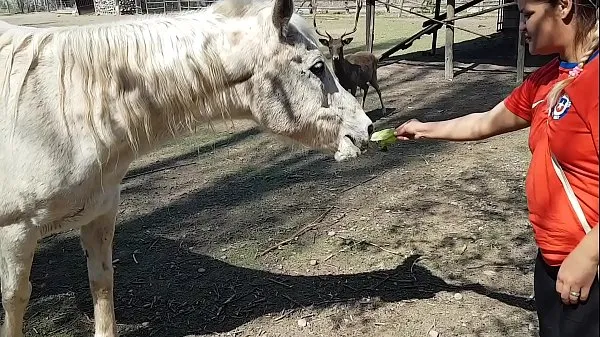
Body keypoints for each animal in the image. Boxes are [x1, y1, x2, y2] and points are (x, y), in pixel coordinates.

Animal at [0, 0, 372, 334]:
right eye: (318, 67)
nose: (365, 130)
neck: (66, 111)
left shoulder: (99, 217)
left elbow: (102, 286)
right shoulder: (16, 234)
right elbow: (15, 299)